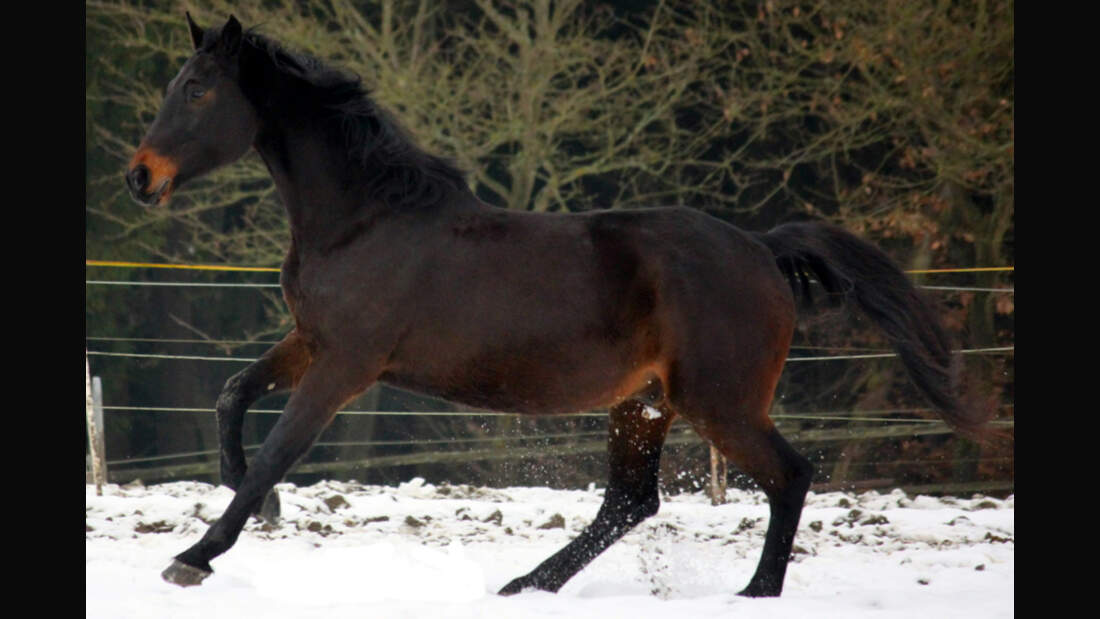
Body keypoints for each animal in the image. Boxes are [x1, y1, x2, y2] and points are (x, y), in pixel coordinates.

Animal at [124, 14, 994, 593]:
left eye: (197, 89)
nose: (140, 177)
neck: (365, 217)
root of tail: (761, 249)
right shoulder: (310, 339)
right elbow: (232, 397)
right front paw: (252, 499)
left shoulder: (347, 363)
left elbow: (280, 446)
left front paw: (196, 555)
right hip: (644, 401)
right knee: (631, 500)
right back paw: (526, 584)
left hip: (720, 401)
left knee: (789, 475)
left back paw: (753, 593)